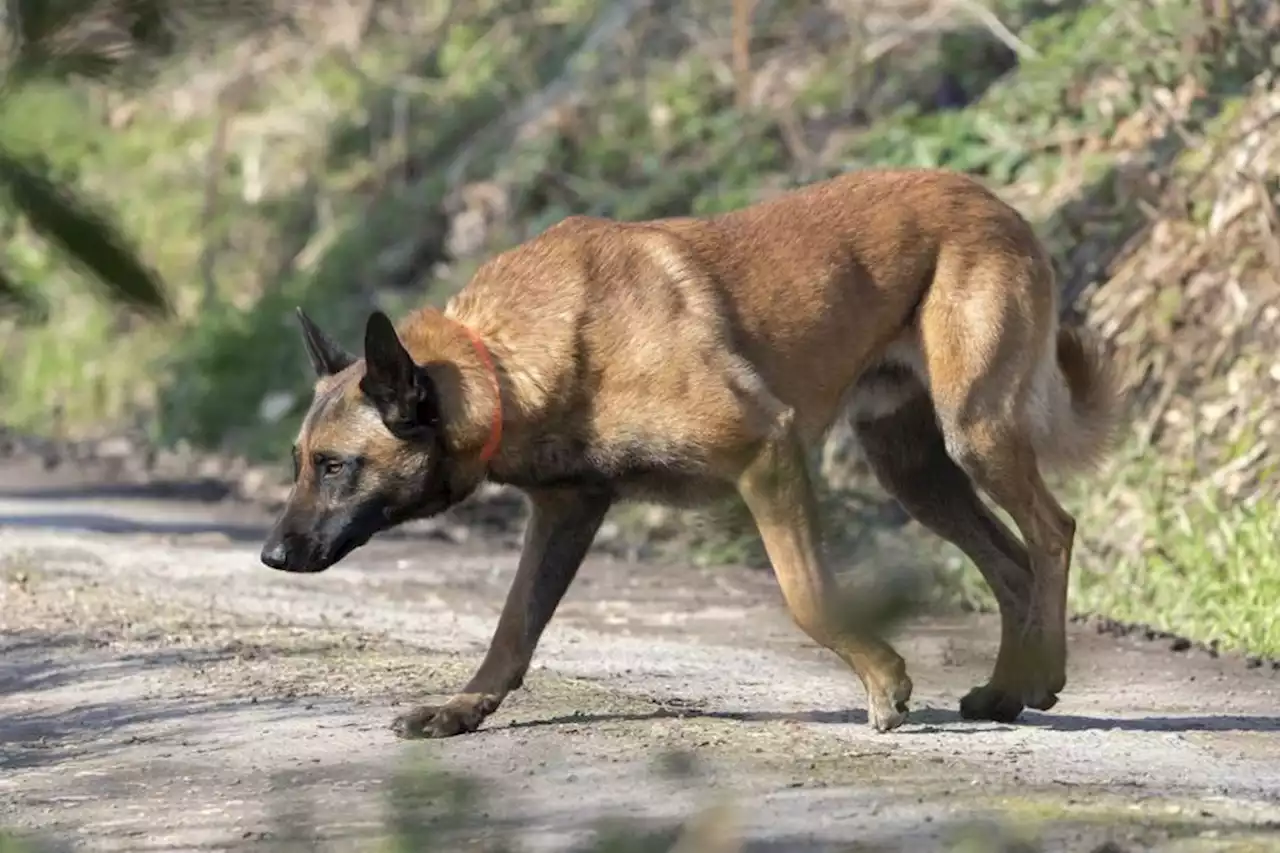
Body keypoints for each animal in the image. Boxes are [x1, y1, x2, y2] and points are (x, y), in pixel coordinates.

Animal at [257, 167, 1121, 737]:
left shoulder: (767, 450)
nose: (271, 555)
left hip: (974, 432)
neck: (500, 363)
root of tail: (997, 201)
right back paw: (1009, 690)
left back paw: (1042, 675)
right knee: (1011, 560)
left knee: (1052, 532)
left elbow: (808, 598)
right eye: (299, 461)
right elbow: (512, 629)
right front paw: (465, 708)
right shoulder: (566, 513)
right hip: (913, 467)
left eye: (335, 466)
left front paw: (884, 682)